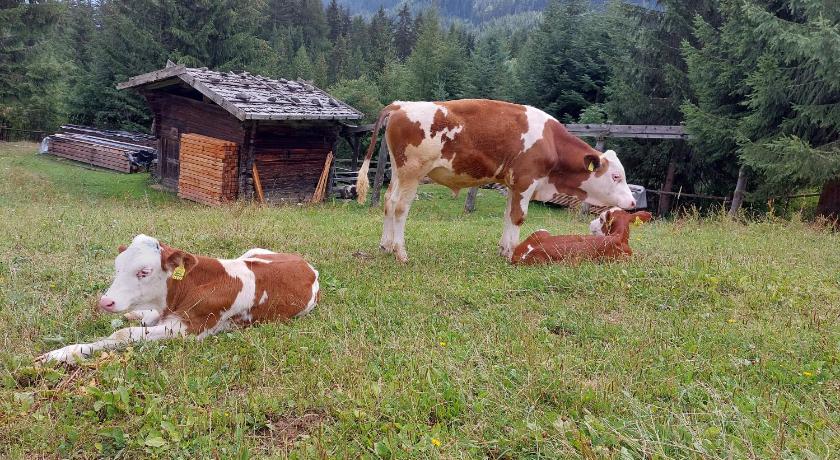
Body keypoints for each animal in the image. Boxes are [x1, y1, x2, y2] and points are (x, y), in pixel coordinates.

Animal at [38, 235, 320, 363]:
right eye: (117, 267)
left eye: (144, 271)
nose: (106, 302)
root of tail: (306, 265)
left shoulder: (189, 330)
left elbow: (123, 334)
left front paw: (62, 354)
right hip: (250, 252)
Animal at [354, 99, 637, 262]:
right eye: (616, 176)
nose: (633, 202)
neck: (550, 143)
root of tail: (400, 105)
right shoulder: (526, 180)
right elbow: (518, 217)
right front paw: (512, 253)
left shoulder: (513, 184)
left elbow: (507, 216)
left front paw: (504, 249)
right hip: (412, 172)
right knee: (401, 207)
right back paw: (400, 252)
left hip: (398, 172)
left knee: (388, 202)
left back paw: (385, 245)